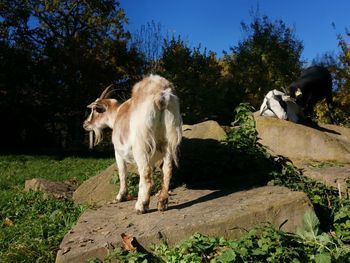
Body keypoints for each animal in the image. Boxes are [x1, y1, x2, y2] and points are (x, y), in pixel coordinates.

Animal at [83, 75, 182, 216]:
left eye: (95, 110)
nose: (85, 124)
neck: (117, 114)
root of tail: (161, 96)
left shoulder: (118, 152)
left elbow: (122, 172)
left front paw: (120, 197)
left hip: (140, 146)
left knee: (145, 173)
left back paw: (141, 206)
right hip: (168, 141)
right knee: (167, 169)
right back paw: (162, 203)